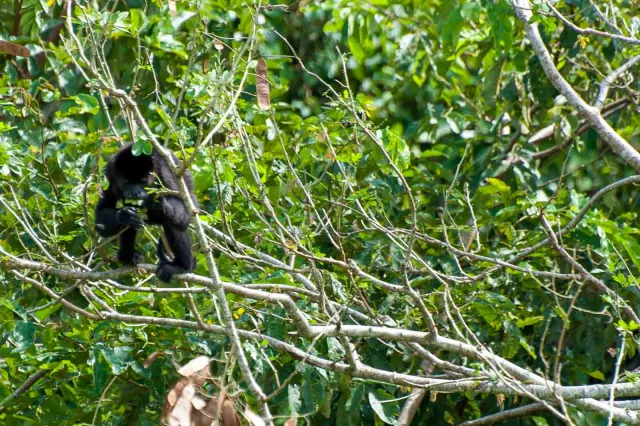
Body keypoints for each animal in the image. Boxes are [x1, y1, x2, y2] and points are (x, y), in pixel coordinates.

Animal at [94, 144, 195, 282]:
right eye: (127, 182)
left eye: (142, 181)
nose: (135, 192)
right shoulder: (110, 172)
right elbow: (101, 216)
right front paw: (125, 215)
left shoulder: (165, 169)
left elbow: (184, 217)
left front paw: (157, 202)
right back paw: (128, 256)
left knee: (173, 224)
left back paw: (182, 266)